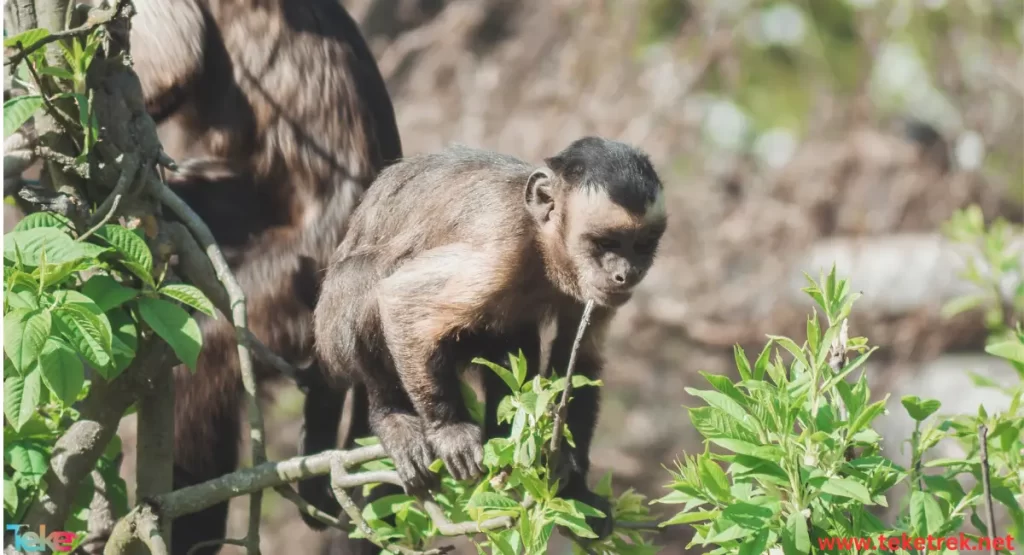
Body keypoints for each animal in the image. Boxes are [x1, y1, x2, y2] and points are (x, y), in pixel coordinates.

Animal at [307, 137, 667, 540]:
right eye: (607, 243)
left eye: (643, 244)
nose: (626, 274)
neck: (542, 246)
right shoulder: (500, 247)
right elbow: (401, 300)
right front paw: (448, 430)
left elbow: (579, 359)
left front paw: (573, 485)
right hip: (330, 329)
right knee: (370, 275)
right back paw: (391, 416)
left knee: (511, 333)